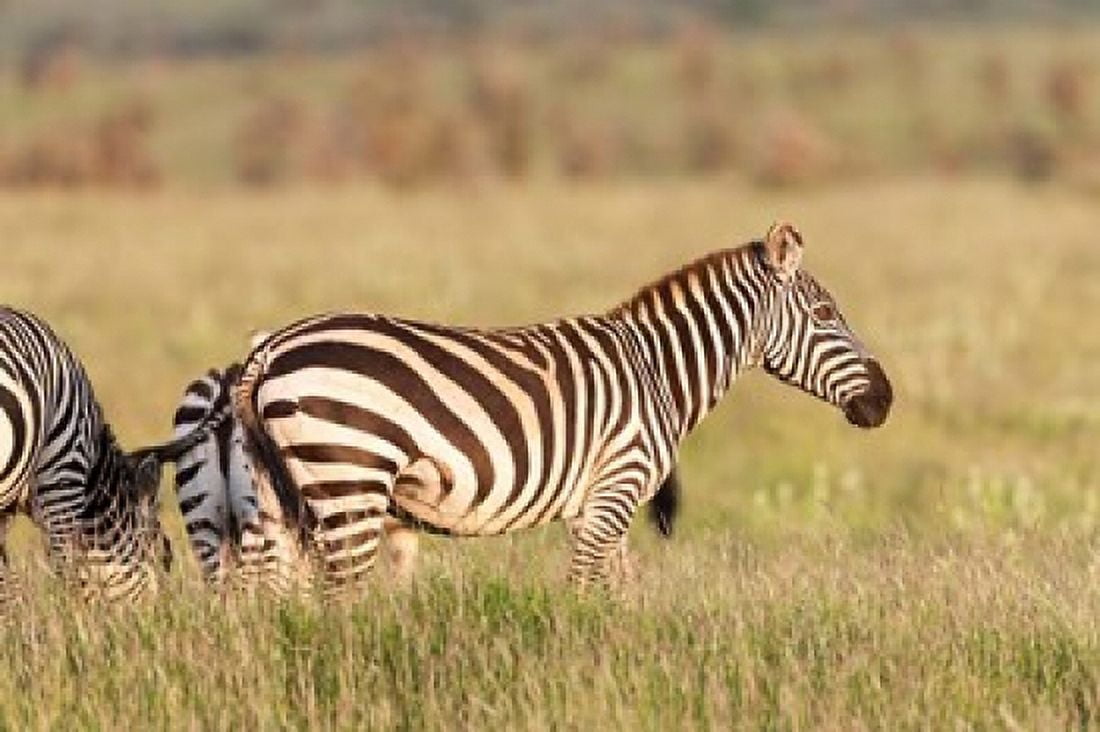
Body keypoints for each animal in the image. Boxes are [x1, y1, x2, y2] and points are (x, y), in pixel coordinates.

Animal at [232, 222, 892, 592]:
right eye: (826, 315)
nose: (884, 400)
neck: (658, 370)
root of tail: (267, 350)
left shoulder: (600, 503)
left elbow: (618, 593)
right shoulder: (615, 489)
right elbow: (582, 590)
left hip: (280, 500)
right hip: (351, 479)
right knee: (338, 600)